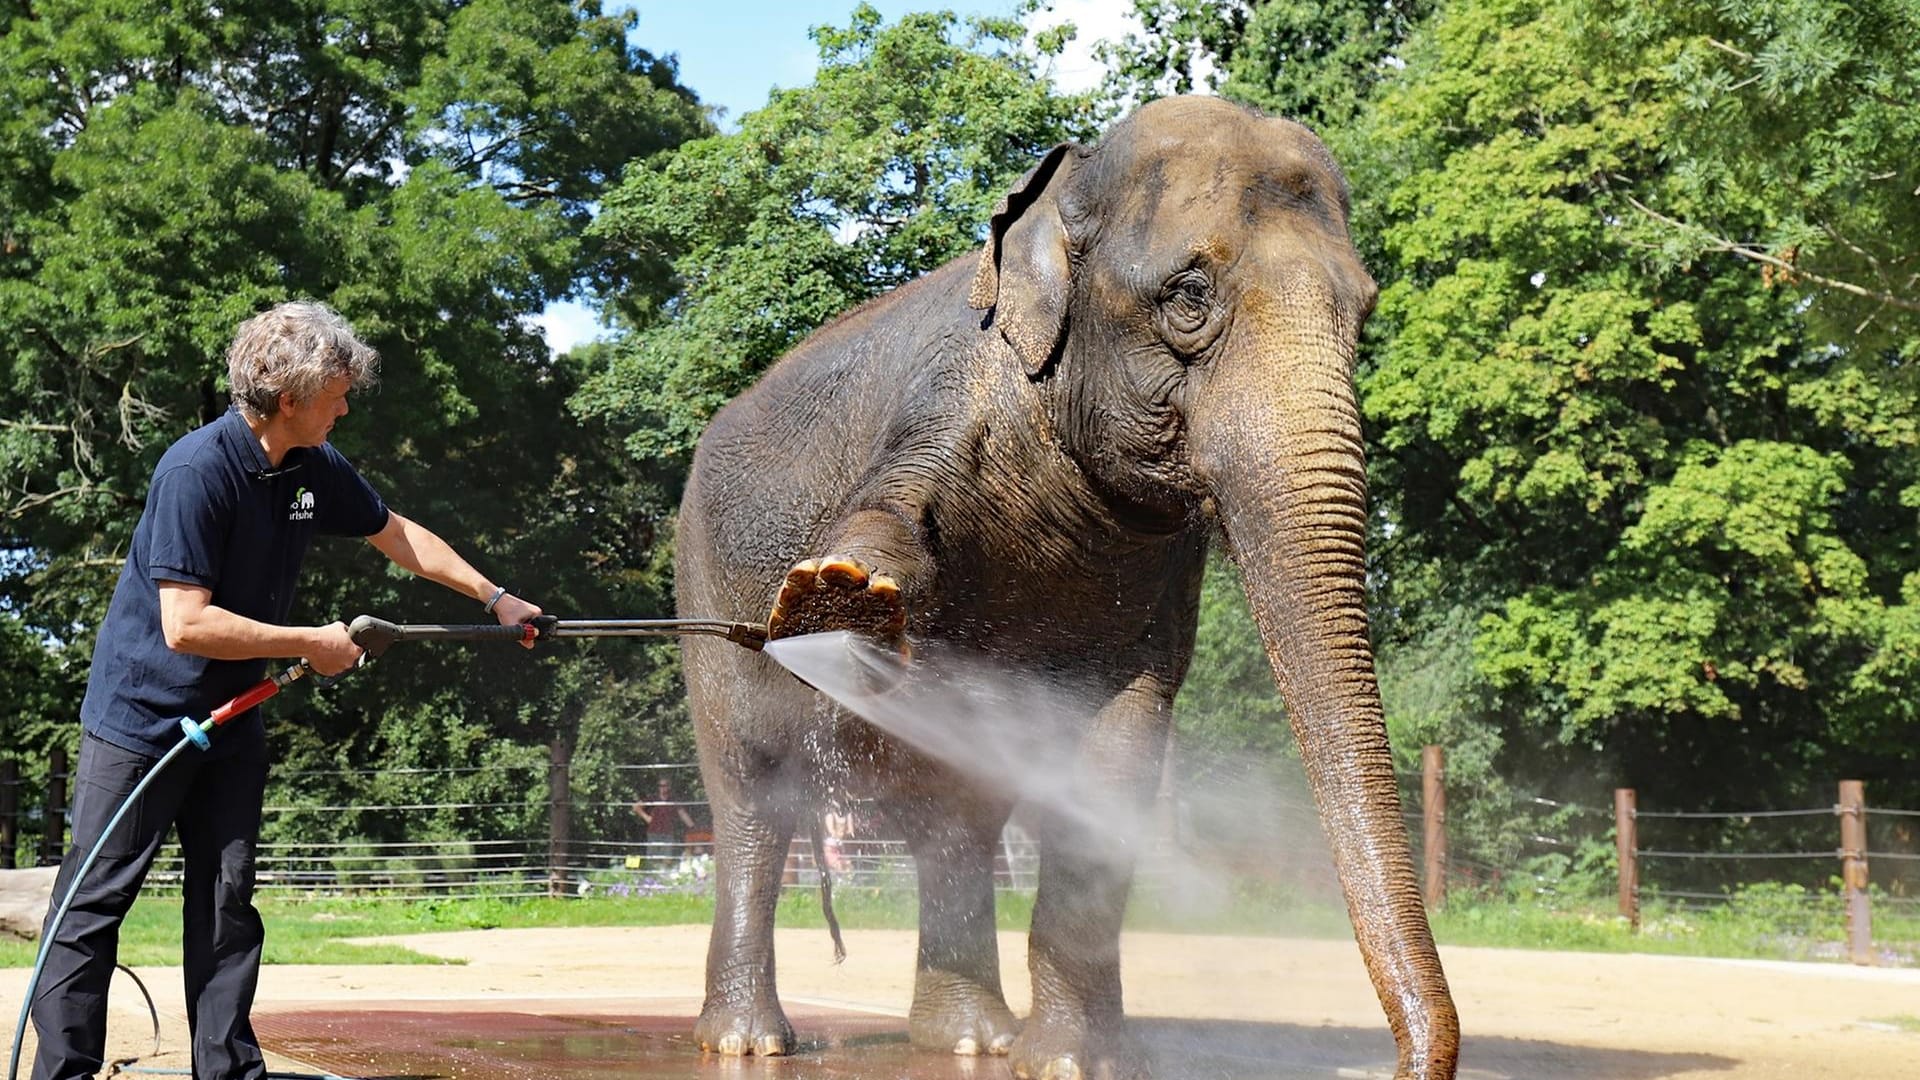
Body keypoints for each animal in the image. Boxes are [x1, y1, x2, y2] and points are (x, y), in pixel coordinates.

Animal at [672, 94, 1451, 1076]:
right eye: (1188, 295)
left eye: (1364, 312)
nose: (1408, 1063)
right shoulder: (948, 399)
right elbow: (889, 516)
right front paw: (840, 595)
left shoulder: (1163, 565)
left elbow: (1119, 749)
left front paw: (1078, 1064)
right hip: (702, 578)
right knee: (753, 794)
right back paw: (750, 1042)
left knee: (956, 815)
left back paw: (974, 1040)